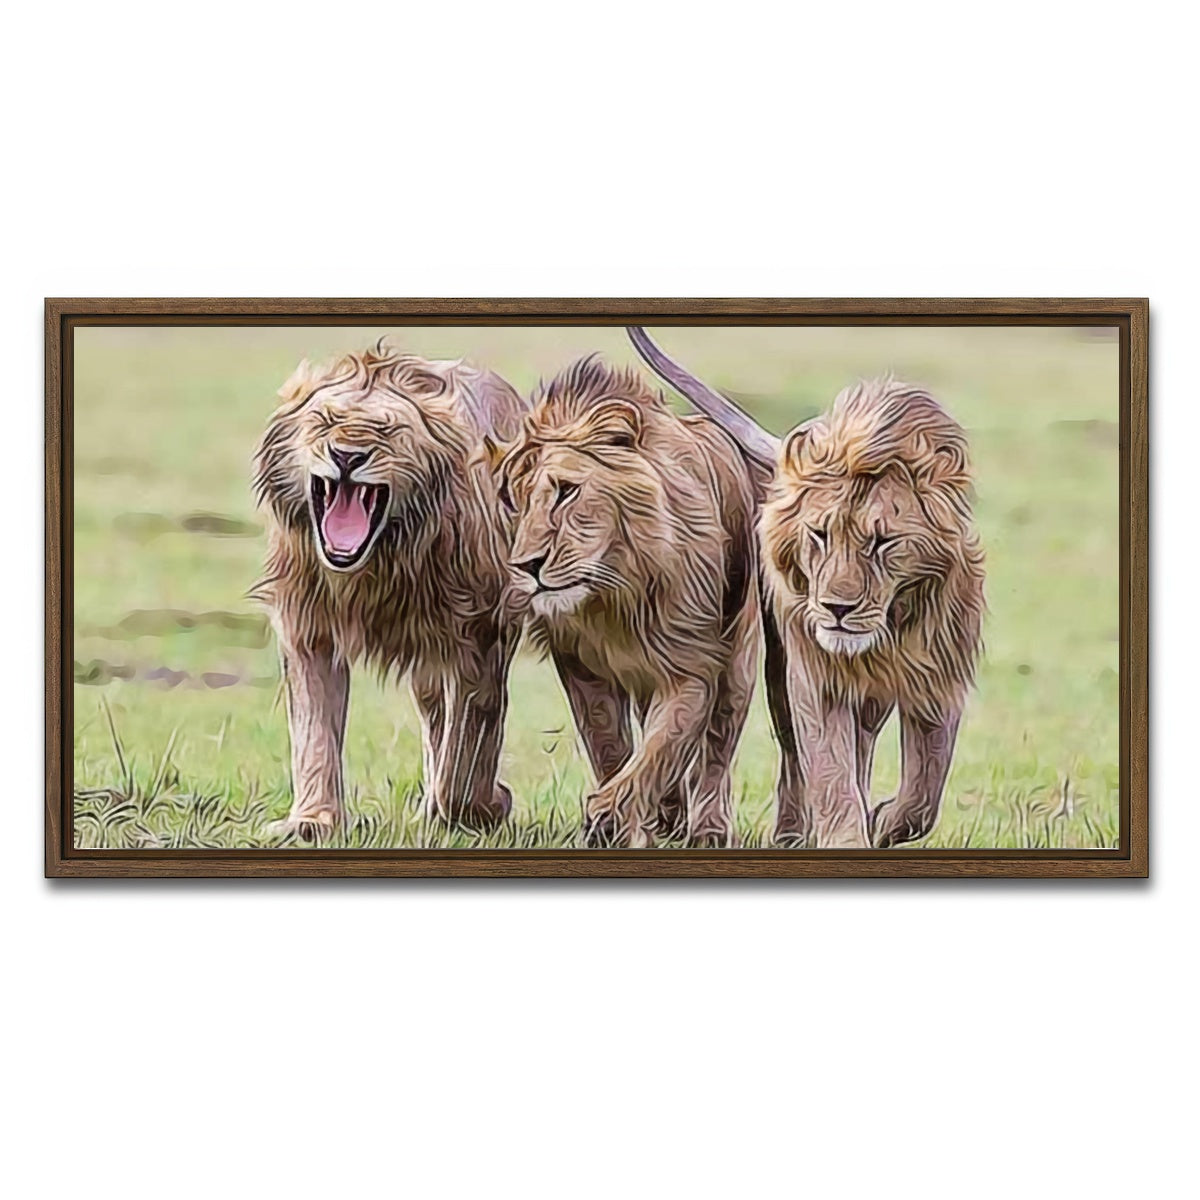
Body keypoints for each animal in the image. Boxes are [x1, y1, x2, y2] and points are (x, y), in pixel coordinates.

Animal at [251, 340, 529, 839]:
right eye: (326, 420)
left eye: (387, 429)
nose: (346, 456)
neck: (377, 564)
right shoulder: (308, 628)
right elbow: (313, 731)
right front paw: (312, 820)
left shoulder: (482, 633)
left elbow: (470, 746)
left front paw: (485, 805)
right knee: (434, 716)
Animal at [489, 355, 760, 849]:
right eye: (512, 501)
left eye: (566, 490)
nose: (527, 565)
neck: (614, 594)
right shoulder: (580, 667)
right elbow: (612, 747)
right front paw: (622, 823)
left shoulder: (693, 665)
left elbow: (660, 749)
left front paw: (610, 817)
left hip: (738, 662)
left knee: (717, 747)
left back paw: (708, 829)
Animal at [628, 327, 985, 849]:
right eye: (819, 534)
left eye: (882, 541)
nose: (837, 608)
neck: (891, 626)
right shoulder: (815, 677)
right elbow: (829, 769)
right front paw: (848, 836)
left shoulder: (939, 678)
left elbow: (924, 792)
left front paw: (883, 821)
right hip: (778, 668)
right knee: (798, 755)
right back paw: (792, 833)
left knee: (864, 745)